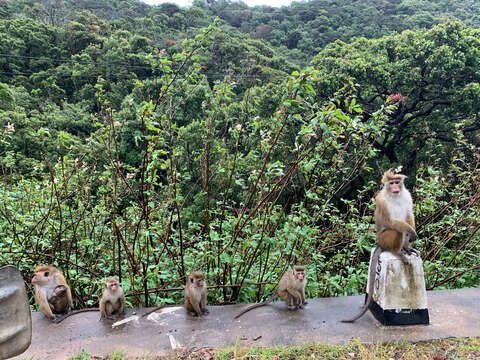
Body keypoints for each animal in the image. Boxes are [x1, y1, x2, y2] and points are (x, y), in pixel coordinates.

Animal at [342, 169, 420, 324]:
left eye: (397, 182)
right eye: (392, 183)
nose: (395, 187)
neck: (394, 196)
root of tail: (379, 243)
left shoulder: (407, 196)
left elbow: (409, 216)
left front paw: (412, 234)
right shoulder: (382, 202)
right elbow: (391, 222)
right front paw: (410, 231)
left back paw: (405, 248)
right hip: (384, 239)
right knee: (396, 230)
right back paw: (397, 252)